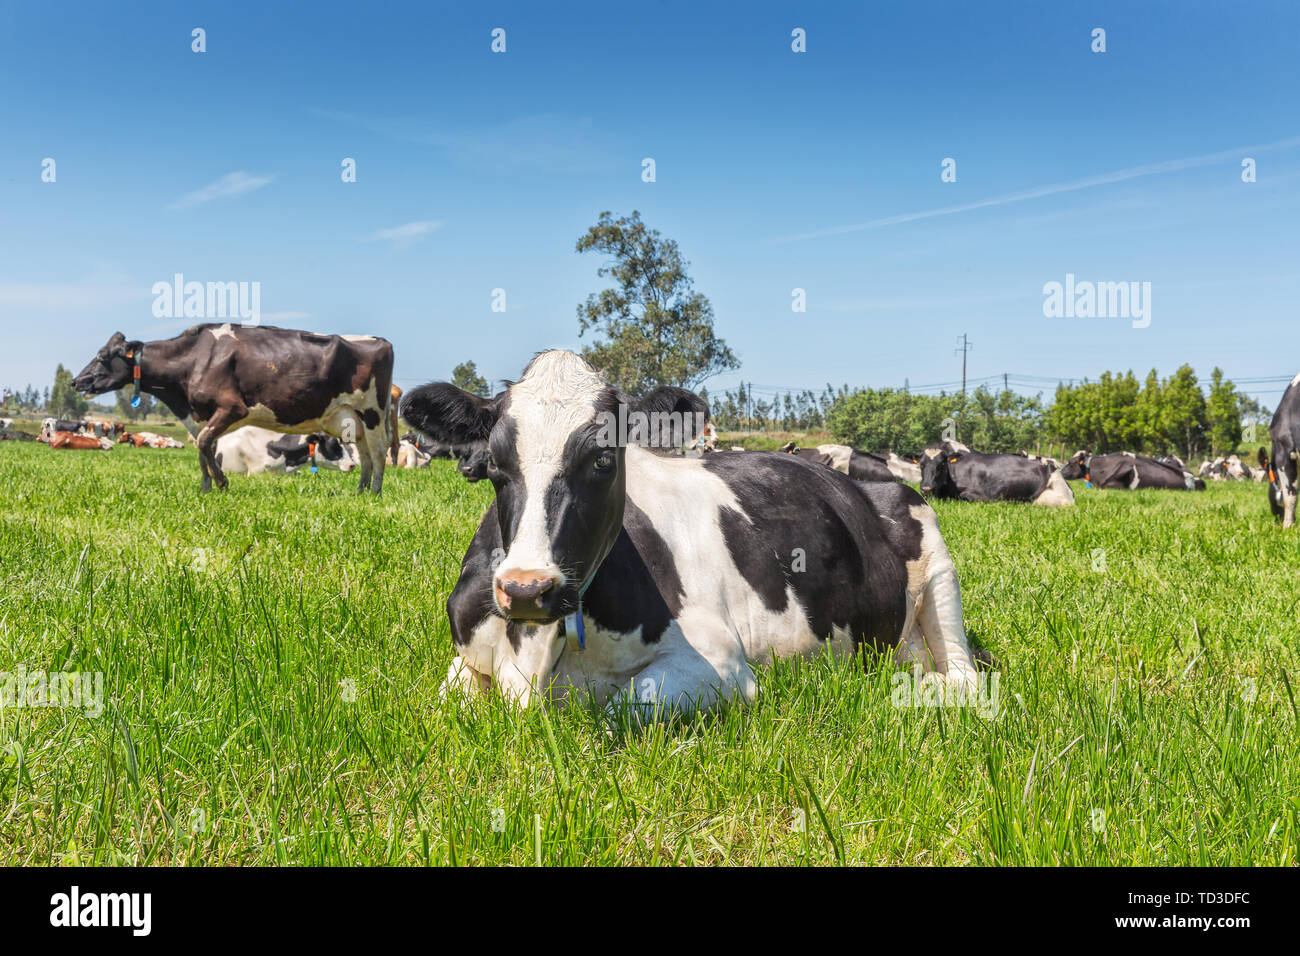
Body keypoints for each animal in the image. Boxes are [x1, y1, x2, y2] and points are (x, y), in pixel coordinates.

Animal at [71, 325, 396, 493]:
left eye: (102, 356)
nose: (77, 380)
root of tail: (381, 340)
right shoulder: (201, 415)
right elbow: (204, 449)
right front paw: (206, 488)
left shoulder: (232, 408)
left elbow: (205, 443)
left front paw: (221, 483)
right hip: (352, 418)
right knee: (365, 454)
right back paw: (360, 491)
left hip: (373, 412)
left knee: (379, 452)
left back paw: (375, 492)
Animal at [401, 350, 983, 714]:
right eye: (493, 465)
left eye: (604, 460)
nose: (526, 588)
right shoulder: (466, 656)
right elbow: (443, 700)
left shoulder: (721, 664)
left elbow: (622, 707)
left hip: (939, 570)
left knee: (964, 678)